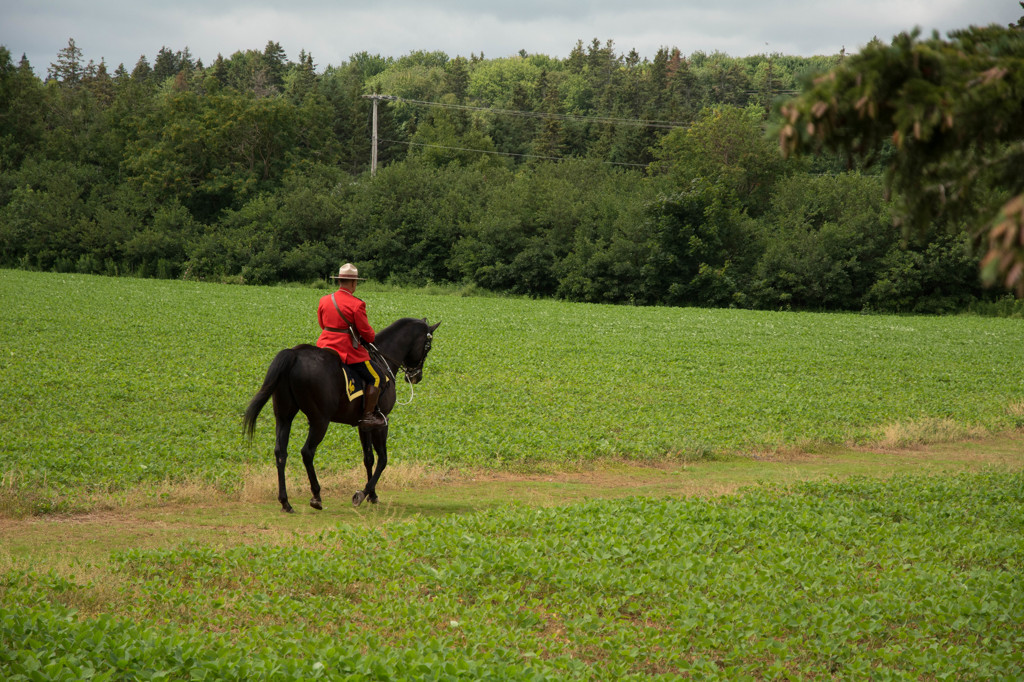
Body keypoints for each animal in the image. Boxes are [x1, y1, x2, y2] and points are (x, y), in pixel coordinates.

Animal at [248, 317, 444, 509]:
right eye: (428, 346)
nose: (415, 376)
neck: (382, 359)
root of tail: (294, 354)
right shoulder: (382, 422)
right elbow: (383, 459)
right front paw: (363, 494)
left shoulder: (364, 425)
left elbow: (368, 458)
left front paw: (372, 495)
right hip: (320, 421)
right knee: (307, 452)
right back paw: (316, 496)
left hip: (284, 417)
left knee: (281, 452)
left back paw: (285, 501)